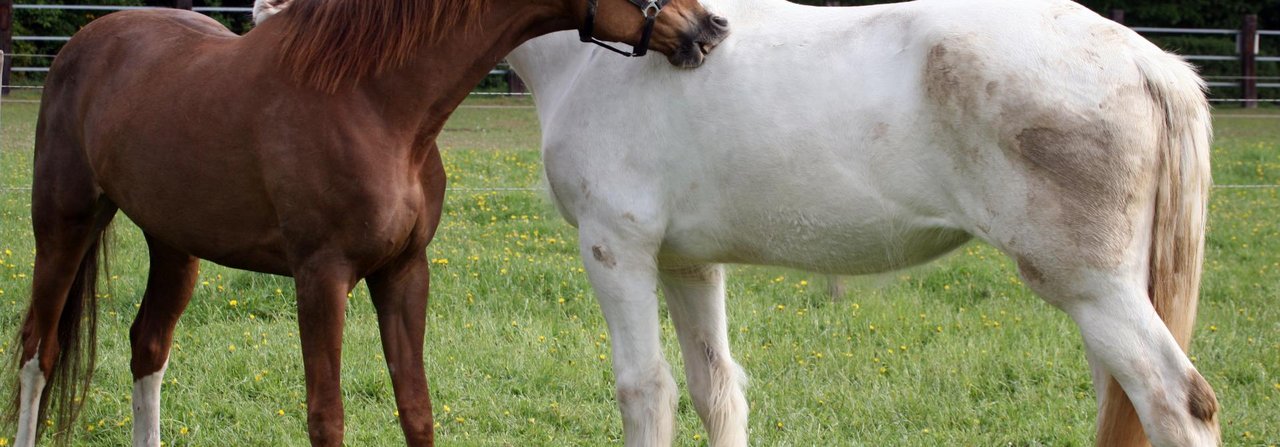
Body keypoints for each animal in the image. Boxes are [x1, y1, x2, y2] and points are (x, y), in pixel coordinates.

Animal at [5, 0, 732, 445]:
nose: (709, 26)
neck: (372, 100)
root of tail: (85, 43)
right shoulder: (321, 277)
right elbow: (327, 417)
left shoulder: (404, 271)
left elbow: (417, 409)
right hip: (63, 225)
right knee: (40, 349)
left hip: (174, 245)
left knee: (148, 346)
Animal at [259, 1, 1218, 443]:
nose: (266, 18)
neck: (594, 55)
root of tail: (1144, 59)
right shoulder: (689, 263)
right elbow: (717, 386)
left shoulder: (616, 249)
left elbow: (646, 389)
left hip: (1091, 290)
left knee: (1177, 400)